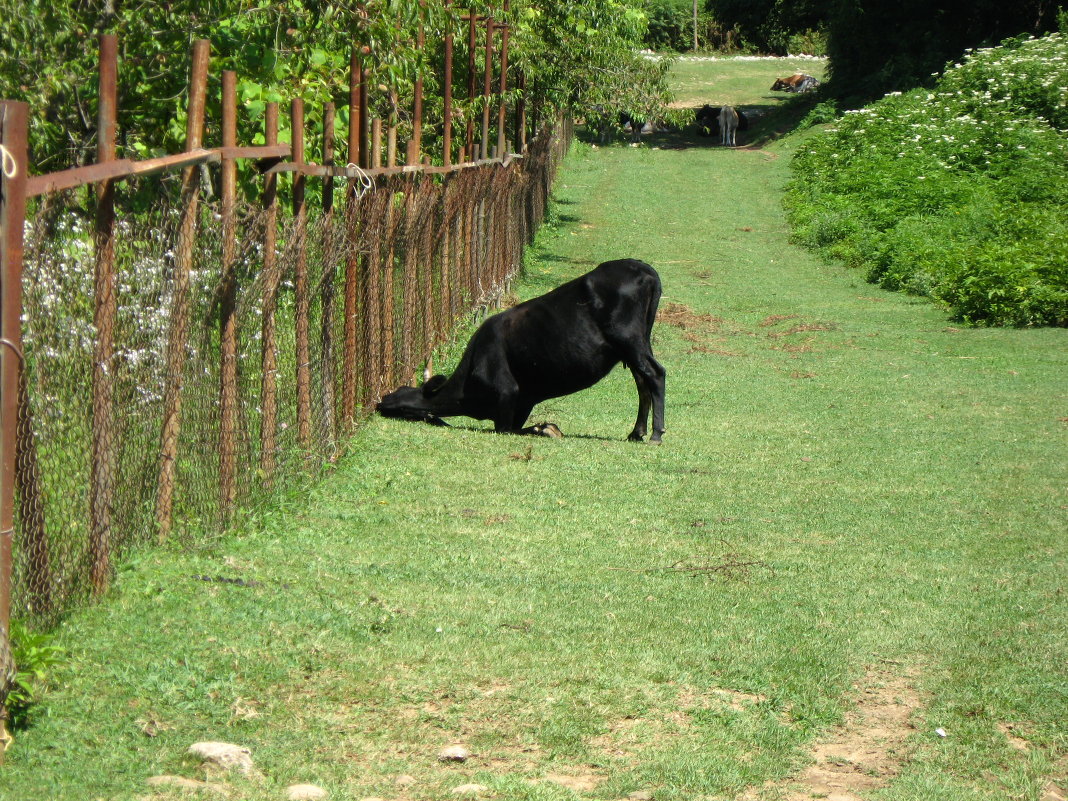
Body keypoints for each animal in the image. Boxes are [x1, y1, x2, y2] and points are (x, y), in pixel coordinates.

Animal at [378, 258, 666, 442]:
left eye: (402, 407)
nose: (380, 402)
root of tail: (641, 268)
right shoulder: (524, 401)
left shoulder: (508, 393)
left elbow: (508, 430)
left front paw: (548, 429)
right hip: (636, 344)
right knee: (642, 381)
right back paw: (636, 433)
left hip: (629, 340)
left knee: (655, 374)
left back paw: (655, 434)